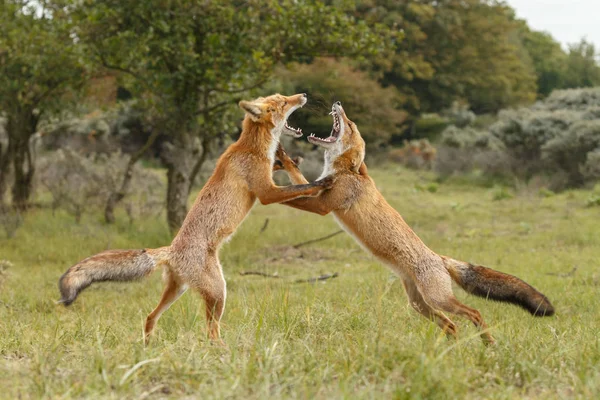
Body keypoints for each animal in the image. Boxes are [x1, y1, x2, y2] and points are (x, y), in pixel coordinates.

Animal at [57, 94, 332, 344]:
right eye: (283, 102)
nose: (303, 95)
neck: (252, 148)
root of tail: (171, 250)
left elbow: (291, 173)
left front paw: (287, 159)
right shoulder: (266, 193)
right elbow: (300, 187)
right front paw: (321, 181)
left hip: (179, 289)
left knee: (150, 316)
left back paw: (148, 348)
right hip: (218, 292)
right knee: (210, 332)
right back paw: (223, 352)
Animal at [276, 102, 552, 344]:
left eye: (351, 125)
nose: (339, 103)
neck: (347, 172)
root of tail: (439, 258)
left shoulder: (323, 205)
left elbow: (290, 197)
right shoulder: (318, 192)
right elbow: (296, 180)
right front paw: (283, 156)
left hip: (438, 299)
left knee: (474, 313)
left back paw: (487, 343)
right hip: (420, 305)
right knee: (452, 325)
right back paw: (449, 351)